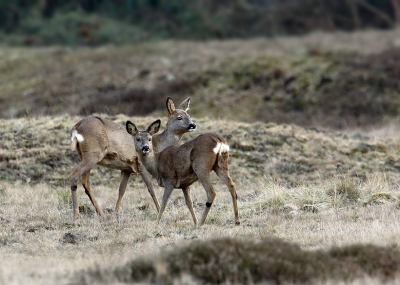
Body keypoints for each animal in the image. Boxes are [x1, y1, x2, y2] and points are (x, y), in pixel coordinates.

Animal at [69, 96, 197, 214]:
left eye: (189, 116)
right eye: (179, 118)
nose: (193, 125)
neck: (158, 145)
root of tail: (76, 127)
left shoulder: (126, 169)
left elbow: (121, 190)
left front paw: (115, 213)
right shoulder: (142, 165)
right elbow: (151, 189)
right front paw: (160, 210)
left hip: (84, 155)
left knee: (86, 183)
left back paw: (101, 214)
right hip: (93, 154)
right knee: (73, 176)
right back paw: (77, 214)